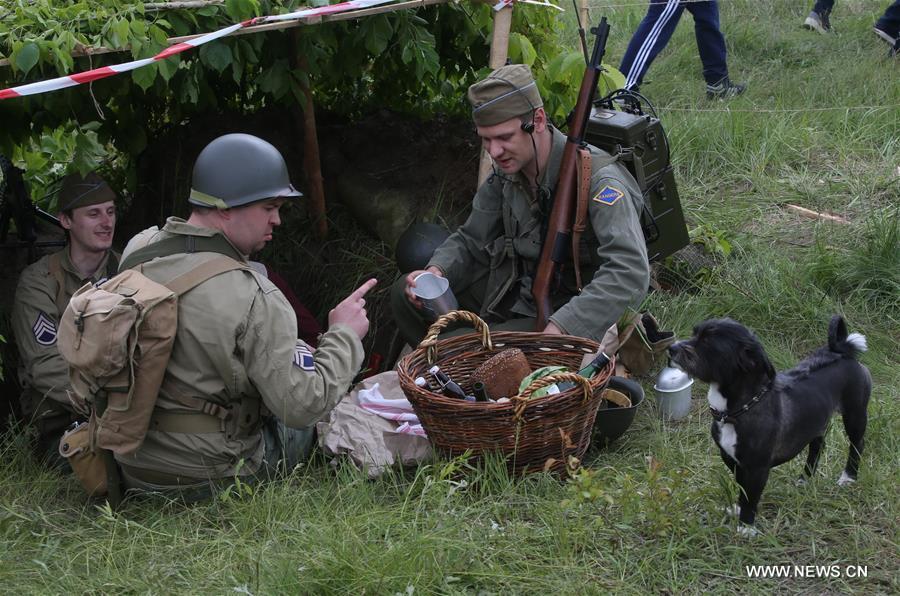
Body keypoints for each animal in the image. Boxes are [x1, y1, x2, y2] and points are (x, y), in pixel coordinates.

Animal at [668, 314, 872, 532]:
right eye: (694, 334)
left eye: (707, 342)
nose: (671, 348)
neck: (739, 410)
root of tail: (843, 351)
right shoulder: (731, 459)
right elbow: (742, 487)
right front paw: (739, 509)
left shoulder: (757, 468)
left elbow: (751, 495)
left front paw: (746, 527)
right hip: (816, 421)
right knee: (817, 446)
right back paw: (805, 479)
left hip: (855, 414)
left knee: (857, 444)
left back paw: (848, 477)